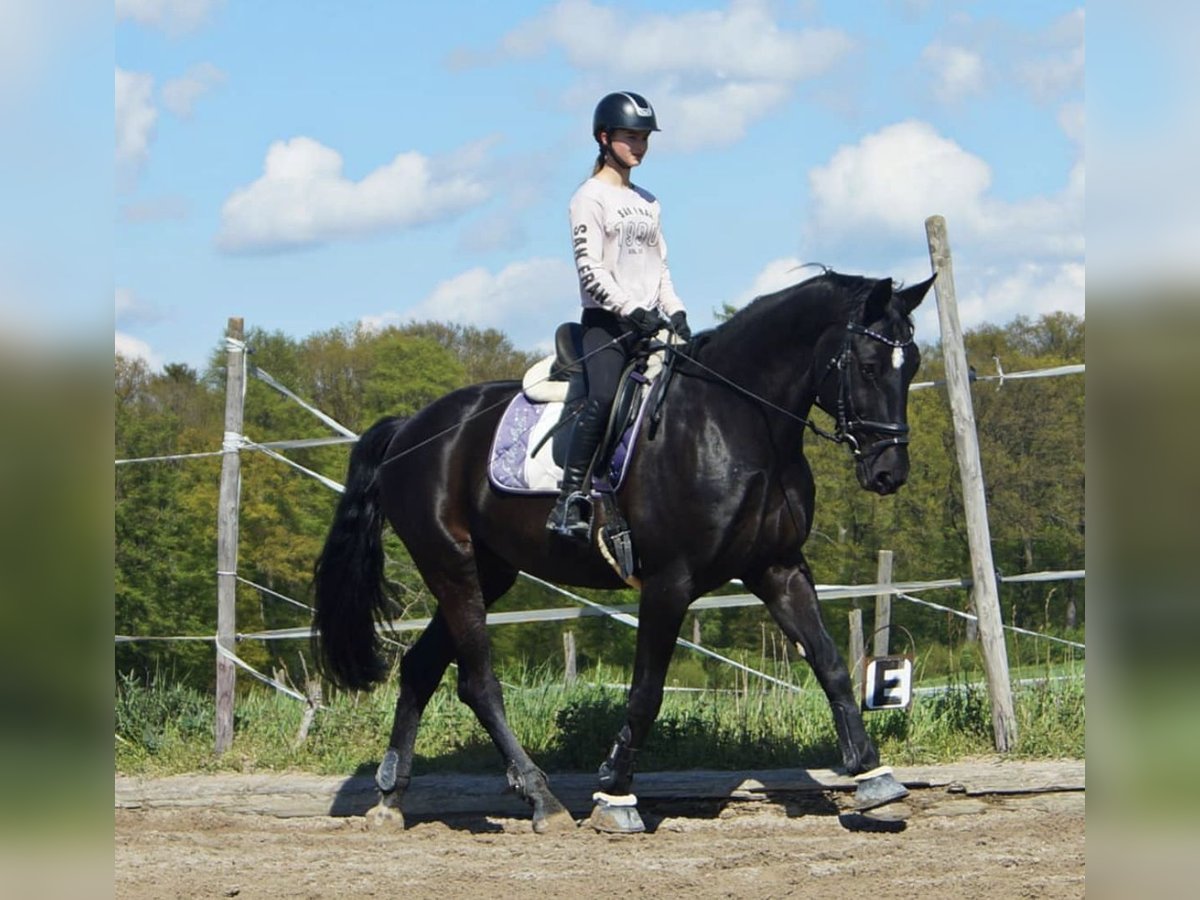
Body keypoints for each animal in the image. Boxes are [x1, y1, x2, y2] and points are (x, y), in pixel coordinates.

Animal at [314, 271, 931, 835]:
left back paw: (391, 799)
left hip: (489, 571)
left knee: (421, 668)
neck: (736, 422)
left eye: (913, 365)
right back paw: (542, 800)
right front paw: (615, 795)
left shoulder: (777, 568)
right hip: (452, 565)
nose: (889, 472)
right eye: (869, 365)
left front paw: (872, 776)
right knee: (479, 684)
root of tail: (409, 429)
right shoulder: (670, 582)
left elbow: (831, 664)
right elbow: (646, 692)